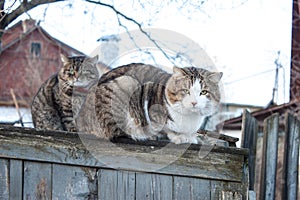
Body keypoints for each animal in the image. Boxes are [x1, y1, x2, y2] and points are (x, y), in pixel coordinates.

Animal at [79, 63, 223, 143]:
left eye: (204, 92)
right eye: (185, 91)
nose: (194, 102)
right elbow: (164, 129)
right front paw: (178, 137)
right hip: (126, 82)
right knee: (116, 132)